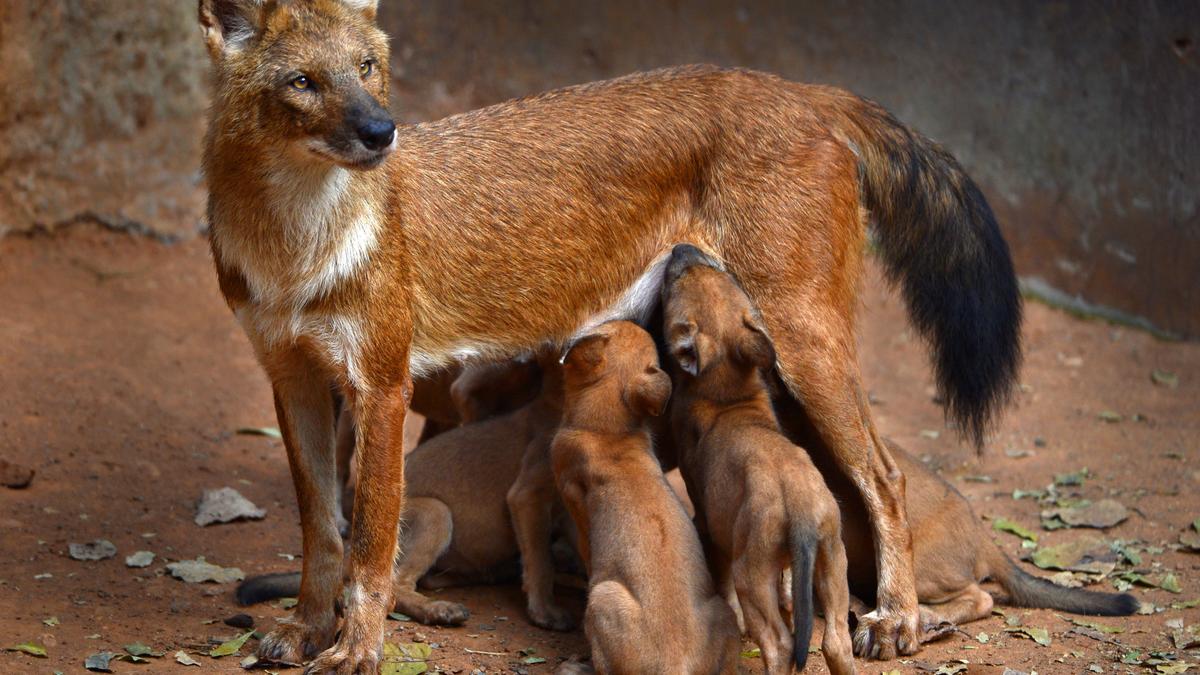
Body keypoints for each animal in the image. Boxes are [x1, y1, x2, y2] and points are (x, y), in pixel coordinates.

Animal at [238, 355, 576, 629]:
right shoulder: (527, 496)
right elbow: (541, 560)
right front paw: (546, 612)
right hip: (434, 514)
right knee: (397, 587)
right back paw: (440, 610)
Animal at [662, 247, 859, 672]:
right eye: (724, 276)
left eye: (676, 281)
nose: (682, 248)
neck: (727, 395)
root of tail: (801, 511)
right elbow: (788, 595)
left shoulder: (708, 520)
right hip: (833, 559)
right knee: (836, 640)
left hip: (751, 574)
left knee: (779, 644)